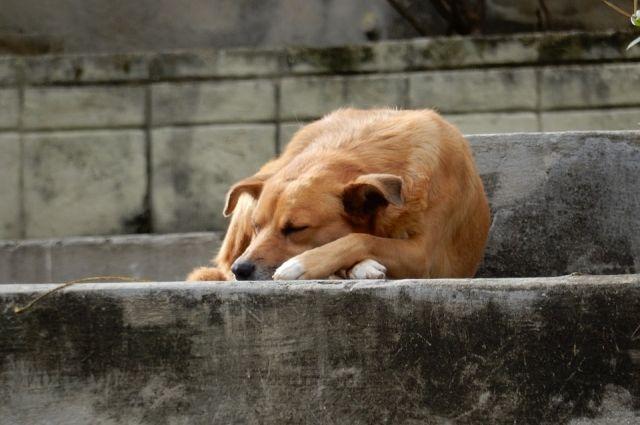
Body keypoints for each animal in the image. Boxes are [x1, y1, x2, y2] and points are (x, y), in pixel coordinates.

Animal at [185, 107, 490, 280]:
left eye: (296, 229)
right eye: (256, 226)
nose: (242, 270)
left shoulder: (423, 255)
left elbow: (359, 237)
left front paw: (300, 264)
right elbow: (362, 238)